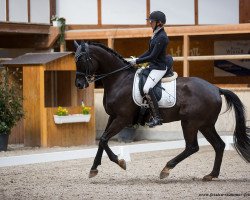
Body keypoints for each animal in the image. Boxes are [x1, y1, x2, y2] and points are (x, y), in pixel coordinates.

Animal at [74, 41, 250, 181]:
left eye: (81, 59)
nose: (79, 84)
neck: (119, 80)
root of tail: (216, 89)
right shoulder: (113, 117)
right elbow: (102, 141)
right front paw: (94, 169)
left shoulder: (122, 119)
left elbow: (104, 139)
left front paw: (120, 162)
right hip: (205, 125)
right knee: (219, 145)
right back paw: (211, 174)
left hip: (190, 123)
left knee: (192, 147)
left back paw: (166, 169)